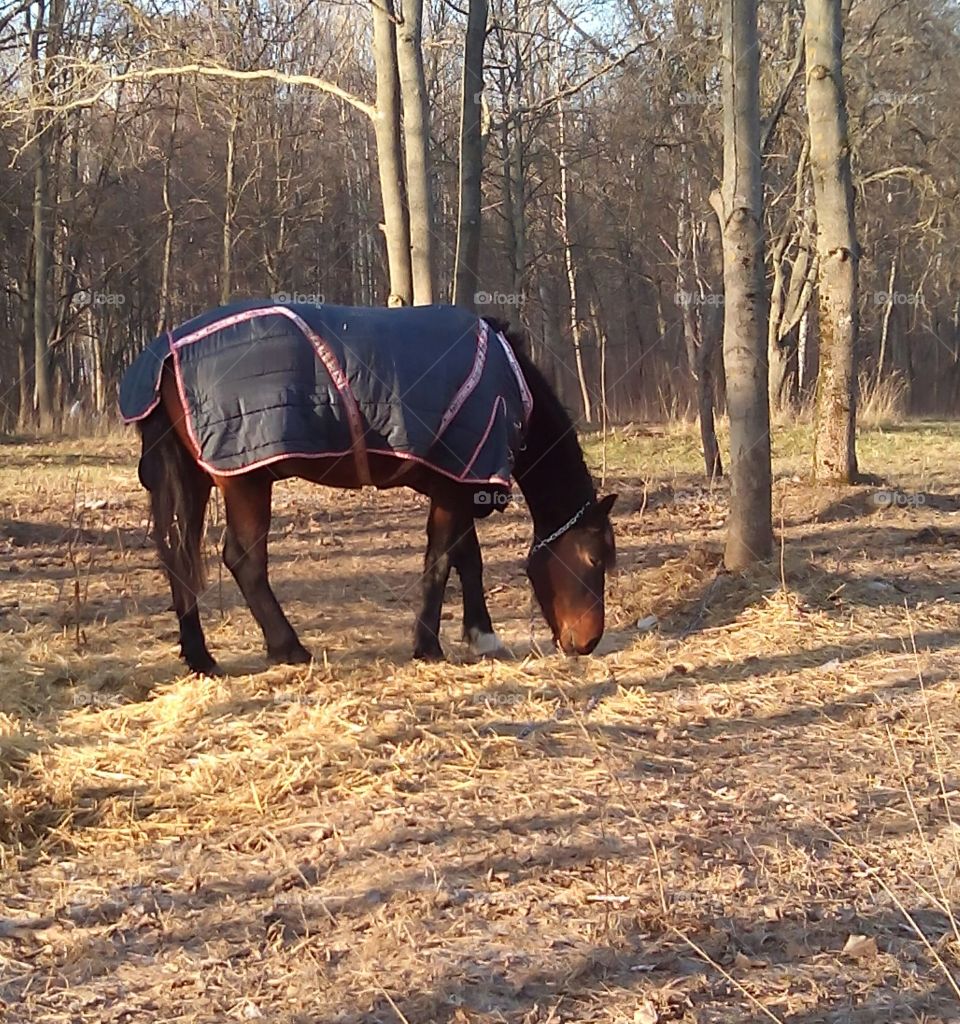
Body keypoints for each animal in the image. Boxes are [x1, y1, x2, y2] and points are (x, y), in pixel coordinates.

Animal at [119, 299, 614, 675]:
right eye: (594, 558)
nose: (588, 643)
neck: (506, 382)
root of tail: (164, 354)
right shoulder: (455, 485)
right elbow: (441, 561)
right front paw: (428, 646)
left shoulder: (457, 480)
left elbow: (466, 559)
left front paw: (481, 634)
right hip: (245, 478)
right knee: (244, 560)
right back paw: (289, 647)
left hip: (197, 477)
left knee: (180, 556)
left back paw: (201, 657)